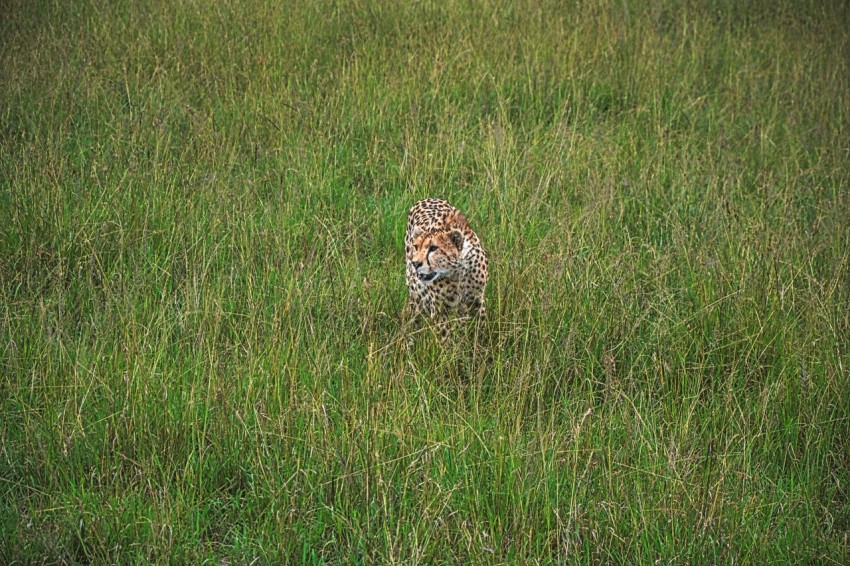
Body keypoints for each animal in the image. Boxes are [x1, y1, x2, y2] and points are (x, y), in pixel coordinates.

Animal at [404, 198, 488, 340]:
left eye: (433, 248)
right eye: (416, 247)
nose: (415, 263)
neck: (458, 272)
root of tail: (426, 198)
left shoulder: (476, 298)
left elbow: (481, 325)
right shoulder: (440, 310)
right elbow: (445, 338)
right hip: (415, 293)